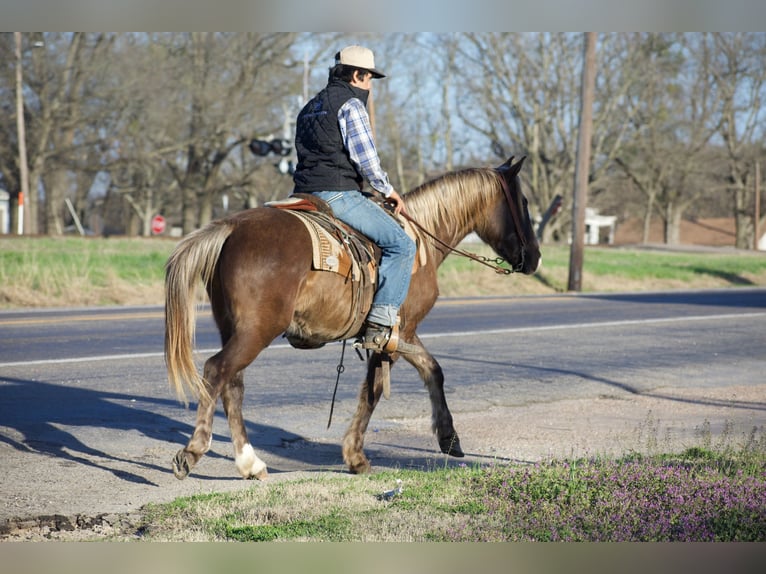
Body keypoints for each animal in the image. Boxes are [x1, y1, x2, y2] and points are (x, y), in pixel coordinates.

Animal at [164, 155, 541, 479]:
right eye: (523, 203)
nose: (535, 258)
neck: (420, 242)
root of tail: (231, 227)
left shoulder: (402, 334)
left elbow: (433, 370)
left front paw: (449, 437)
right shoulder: (390, 336)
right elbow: (373, 392)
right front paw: (356, 457)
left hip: (234, 329)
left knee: (233, 385)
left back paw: (250, 463)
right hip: (256, 331)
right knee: (217, 371)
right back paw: (194, 451)